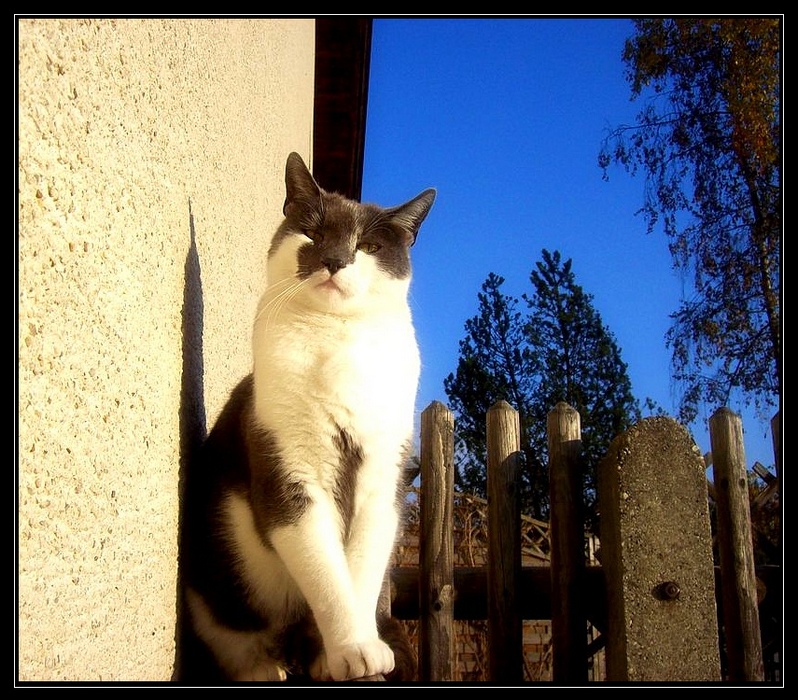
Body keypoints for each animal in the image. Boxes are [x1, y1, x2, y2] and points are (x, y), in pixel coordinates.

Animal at [180, 153, 438, 684]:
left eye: (368, 246)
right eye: (313, 232)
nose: (335, 259)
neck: (337, 337)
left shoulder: (384, 477)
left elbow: (359, 574)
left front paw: (358, 650)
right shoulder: (291, 471)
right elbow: (325, 572)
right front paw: (353, 648)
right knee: (232, 638)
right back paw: (266, 667)